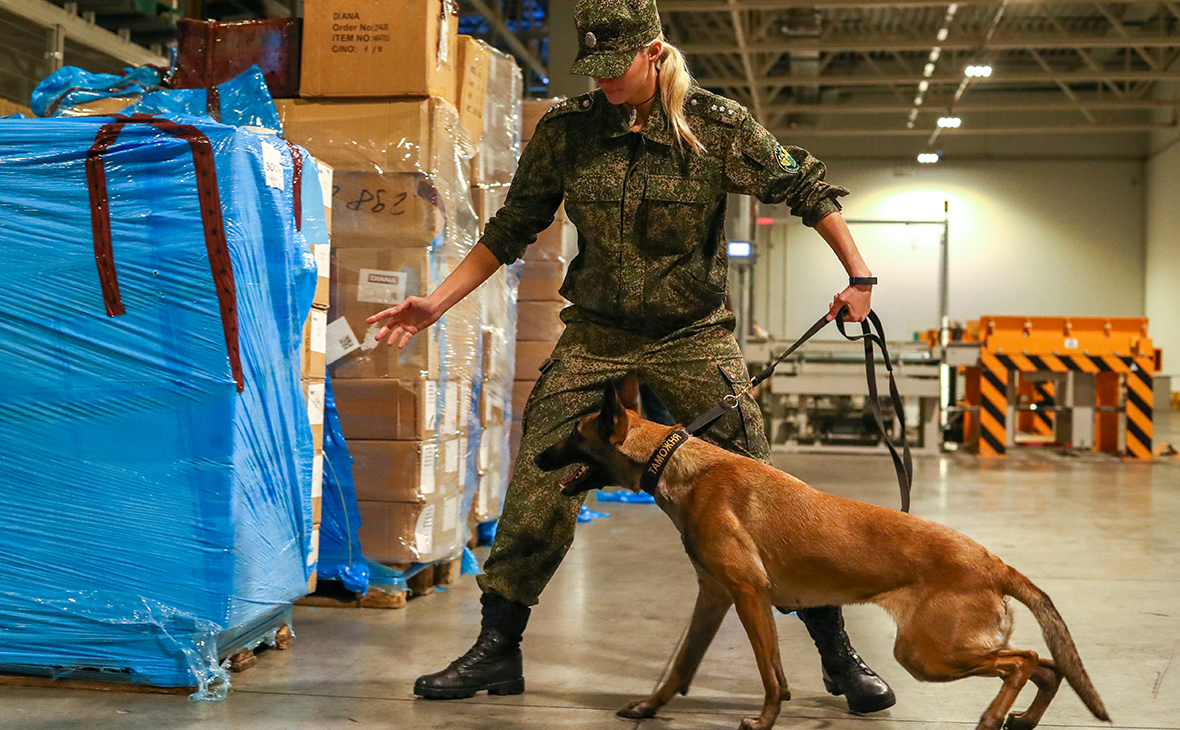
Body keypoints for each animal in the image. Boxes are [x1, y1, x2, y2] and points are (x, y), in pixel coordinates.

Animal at [535, 377, 1104, 730]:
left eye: (573, 434)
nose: (536, 455)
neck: (678, 464)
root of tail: (994, 563)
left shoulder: (748, 593)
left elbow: (770, 671)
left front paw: (764, 720)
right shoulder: (715, 596)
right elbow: (682, 664)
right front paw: (650, 706)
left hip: (925, 653)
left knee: (1023, 661)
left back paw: (991, 717)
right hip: (936, 652)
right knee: (1047, 666)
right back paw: (1023, 719)